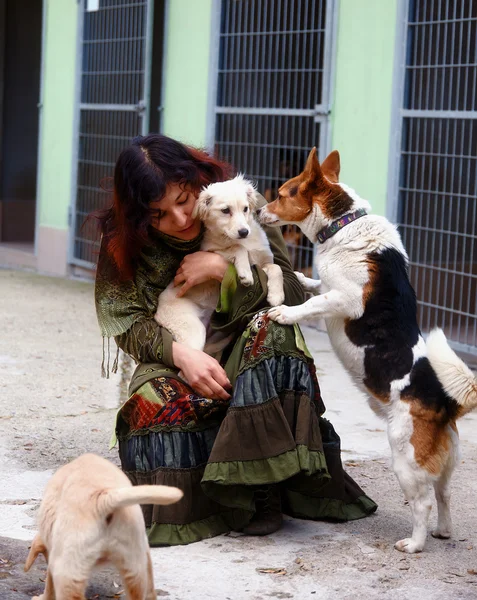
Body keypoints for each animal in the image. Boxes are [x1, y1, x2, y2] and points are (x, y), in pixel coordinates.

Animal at [155, 175, 282, 352]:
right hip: (192, 330)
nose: (244, 232)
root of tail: (157, 312)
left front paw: (276, 296)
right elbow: (237, 248)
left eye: (245, 209)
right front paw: (245, 274)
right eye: (225, 210)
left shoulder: (264, 262)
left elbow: (277, 268)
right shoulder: (210, 251)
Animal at [258, 149, 476, 552]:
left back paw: (415, 544)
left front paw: (284, 312)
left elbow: (311, 304)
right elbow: (312, 283)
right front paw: (297, 280)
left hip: (405, 459)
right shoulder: (328, 285)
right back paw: (443, 530)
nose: (260, 212)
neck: (343, 225)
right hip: (442, 464)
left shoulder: (344, 299)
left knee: (423, 503)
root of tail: (445, 403)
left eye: (281, 194)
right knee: (444, 495)